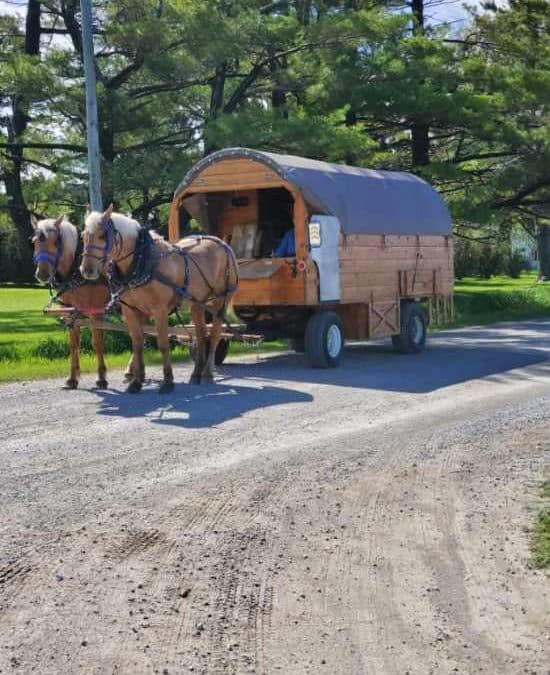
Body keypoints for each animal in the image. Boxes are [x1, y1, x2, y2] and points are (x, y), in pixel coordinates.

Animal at [31, 214, 112, 388]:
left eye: (56, 242)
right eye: (34, 241)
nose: (42, 274)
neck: (76, 272)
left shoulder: (96, 312)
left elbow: (97, 342)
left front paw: (101, 377)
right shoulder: (71, 312)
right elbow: (74, 344)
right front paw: (73, 378)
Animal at [80, 203, 239, 394]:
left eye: (103, 235)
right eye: (83, 236)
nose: (87, 270)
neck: (142, 261)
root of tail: (223, 244)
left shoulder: (159, 310)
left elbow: (163, 344)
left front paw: (168, 381)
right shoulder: (131, 310)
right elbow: (137, 344)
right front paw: (136, 382)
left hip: (221, 300)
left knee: (214, 335)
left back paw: (207, 373)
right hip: (197, 303)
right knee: (201, 335)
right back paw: (196, 374)